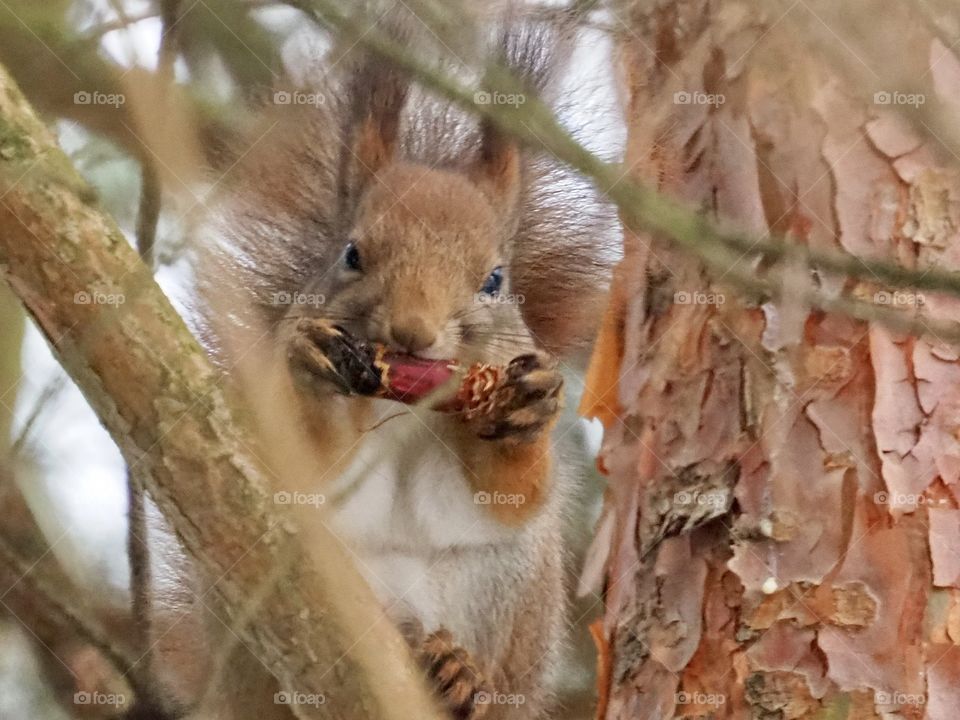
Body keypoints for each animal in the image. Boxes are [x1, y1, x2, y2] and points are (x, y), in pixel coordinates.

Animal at [146, 7, 618, 720]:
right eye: (351, 254)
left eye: (495, 280)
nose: (412, 333)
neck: (405, 403)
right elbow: (298, 460)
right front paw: (313, 372)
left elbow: (513, 495)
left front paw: (529, 409)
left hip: (508, 590)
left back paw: (457, 674)